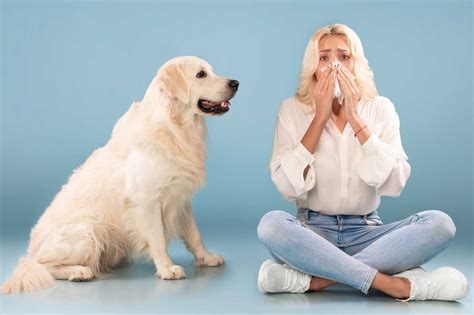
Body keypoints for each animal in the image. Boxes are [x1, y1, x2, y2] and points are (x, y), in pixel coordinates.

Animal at [1, 55, 239, 296]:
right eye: (200, 74)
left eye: (212, 71)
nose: (235, 83)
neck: (174, 128)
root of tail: (30, 250)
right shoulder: (146, 201)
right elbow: (158, 238)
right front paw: (167, 268)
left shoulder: (181, 197)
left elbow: (194, 234)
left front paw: (207, 257)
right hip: (89, 230)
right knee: (44, 265)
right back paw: (79, 272)